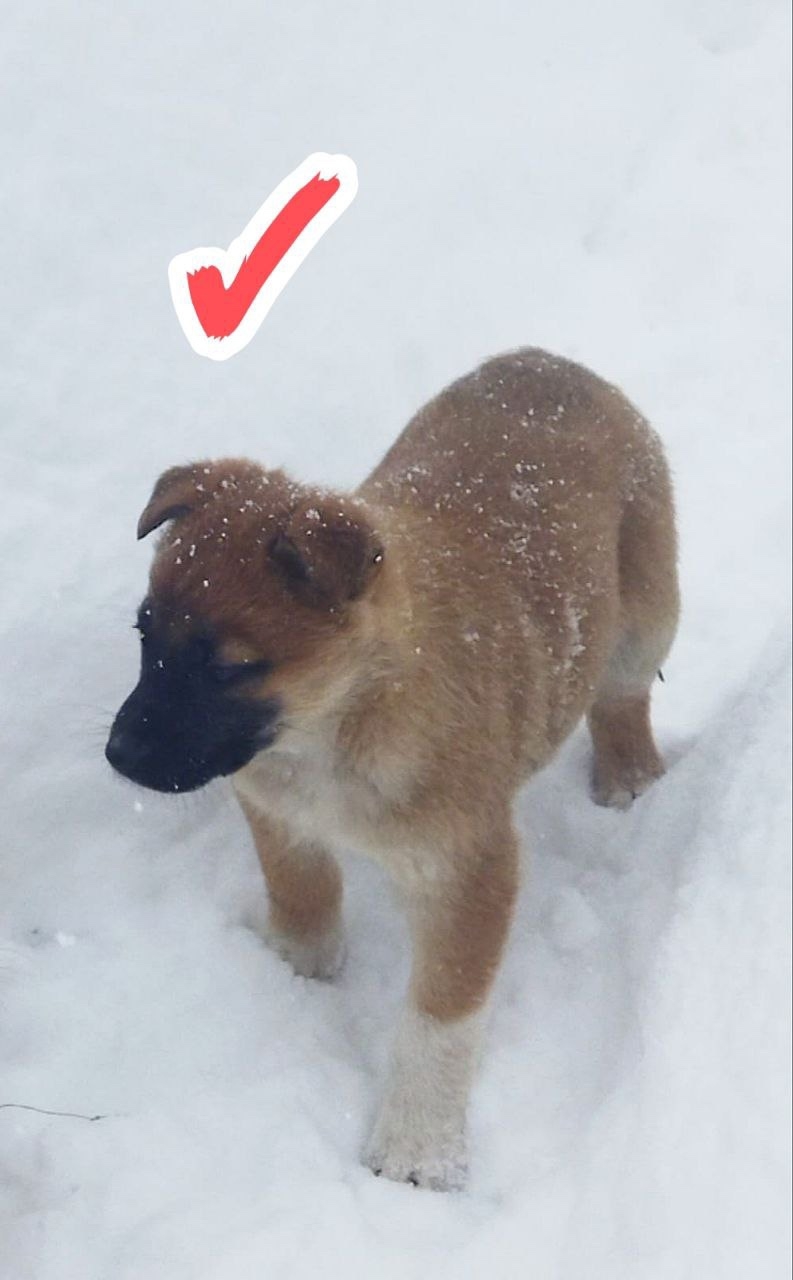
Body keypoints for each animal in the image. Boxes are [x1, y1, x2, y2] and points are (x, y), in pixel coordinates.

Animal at [106, 348, 679, 1190]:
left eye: (230, 669)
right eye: (145, 635)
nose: (118, 755)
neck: (340, 724)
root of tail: (546, 360)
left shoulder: (465, 869)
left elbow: (440, 1019)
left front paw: (418, 1146)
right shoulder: (277, 811)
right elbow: (302, 898)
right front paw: (293, 973)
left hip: (643, 618)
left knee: (621, 699)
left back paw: (628, 778)